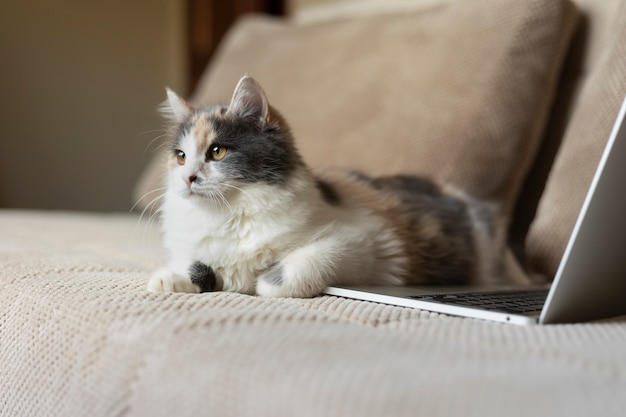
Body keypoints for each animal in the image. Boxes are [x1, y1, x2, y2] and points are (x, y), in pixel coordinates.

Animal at [146, 75, 528, 296]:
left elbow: (286, 275)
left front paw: (263, 281)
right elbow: (201, 266)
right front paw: (168, 279)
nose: (187, 178)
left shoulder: (364, 242)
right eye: (180, 156)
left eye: (217, 151)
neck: (228, 214)